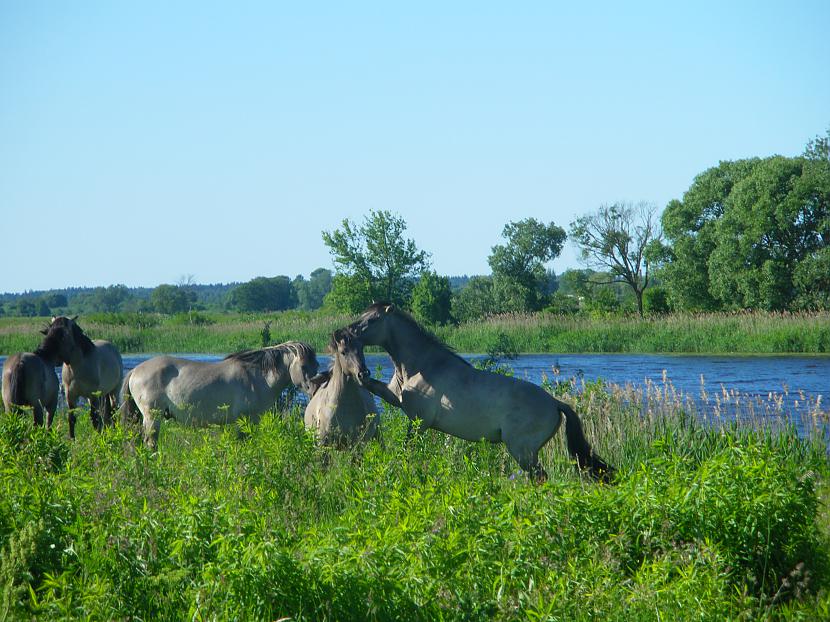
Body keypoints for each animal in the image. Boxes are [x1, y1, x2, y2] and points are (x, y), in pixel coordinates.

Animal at [120, 342, 318, 448]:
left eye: (315, 364)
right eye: (303, 366)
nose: (313, 389)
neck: (256, 376)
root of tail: (135, 370)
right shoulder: (247, 420)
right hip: (152, 416)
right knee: (150, 442)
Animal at [348, 302, 616, 482]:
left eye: (372, 320)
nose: (347, 332)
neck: (421, 367)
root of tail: (554, 403)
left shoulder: (418, 421)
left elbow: (407, 450)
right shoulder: (395, 397)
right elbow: (376, 388)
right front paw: (361, 376)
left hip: (523, 451)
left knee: (540, 477)